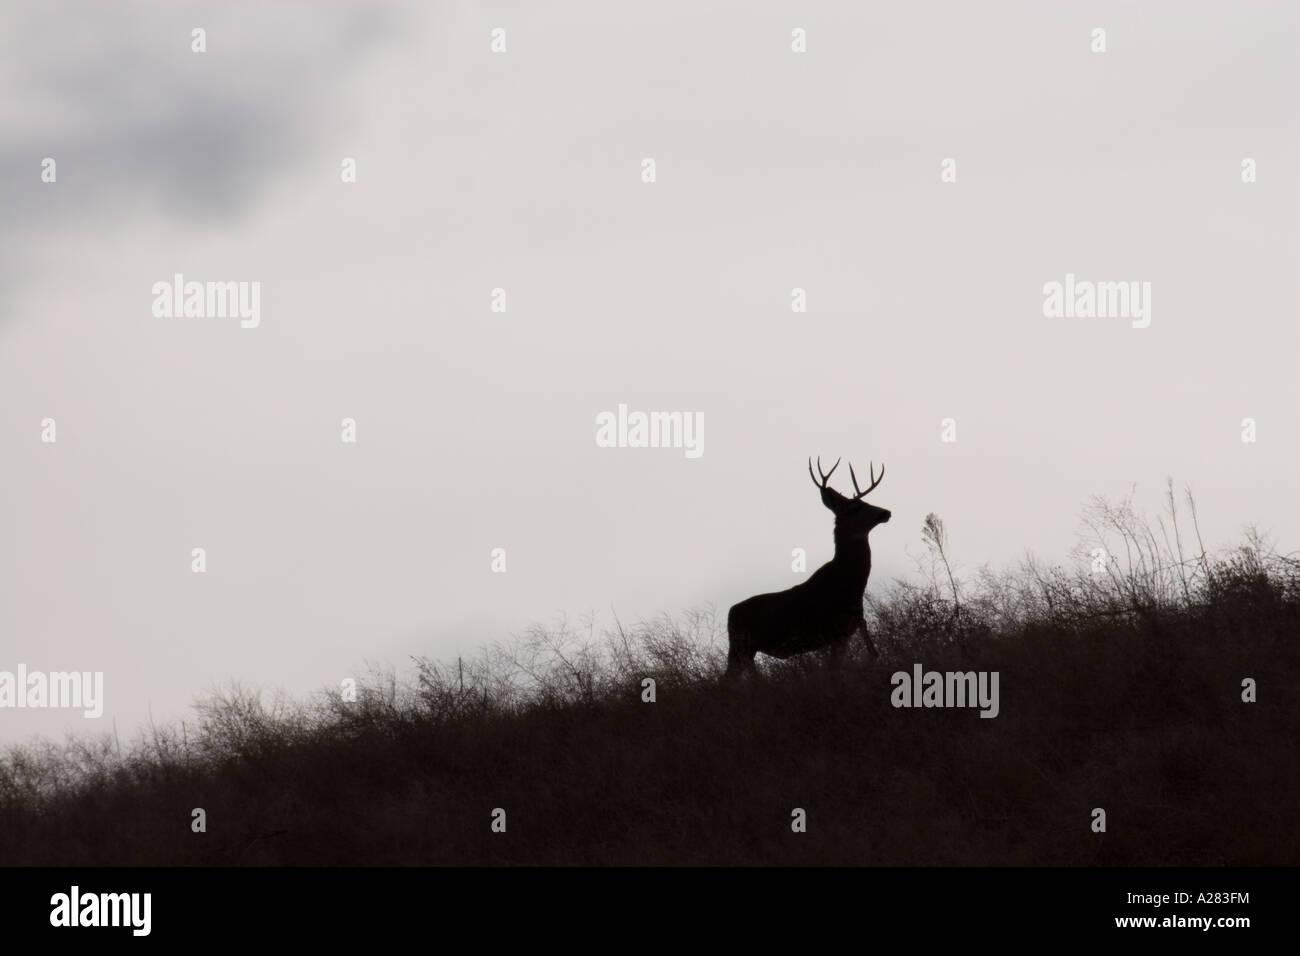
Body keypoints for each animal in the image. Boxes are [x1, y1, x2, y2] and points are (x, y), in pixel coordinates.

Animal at [725, 457, 891, 679]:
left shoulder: (847, 629)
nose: (886, 512)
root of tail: (730, 613)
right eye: (857, 507)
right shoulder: (835, 630)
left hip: (745, 650)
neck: (850, 582)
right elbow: (834, 668)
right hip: (741, 646)